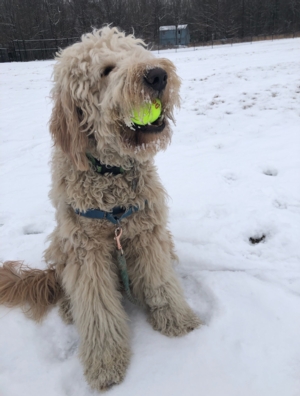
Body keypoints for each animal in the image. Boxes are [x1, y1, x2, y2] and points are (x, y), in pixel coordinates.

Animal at [1, 26, 202, 392]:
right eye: (106, 70)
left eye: (138, 53)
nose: (157, 74)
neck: (112, 178)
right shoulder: (85, 251)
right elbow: (96, 310)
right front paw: (106, 362)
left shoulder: (148, 233)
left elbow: (160, 281)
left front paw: (178, 322)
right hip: (60, 243)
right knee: (66, 284)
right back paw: (69, 307)